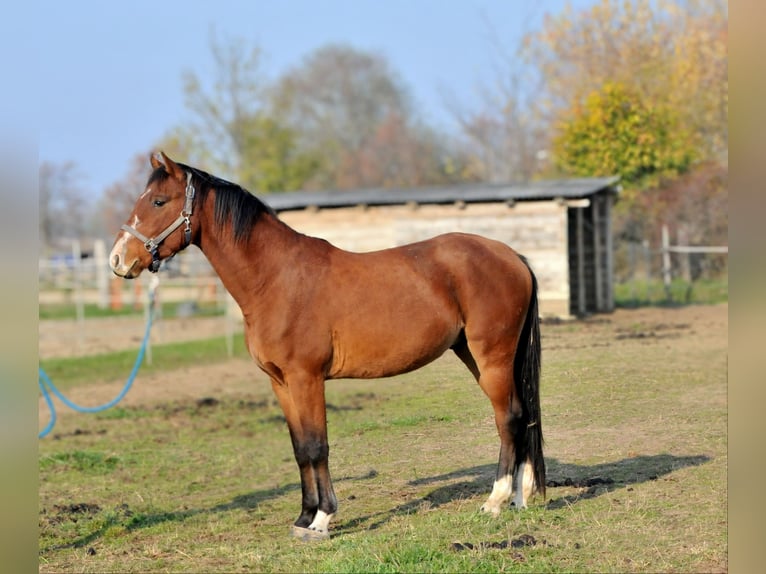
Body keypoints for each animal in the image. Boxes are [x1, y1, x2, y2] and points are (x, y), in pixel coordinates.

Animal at [111, 152, 548, 540]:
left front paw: (322, 520)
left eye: (158, 201)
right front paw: (304, 518)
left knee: (508, 418)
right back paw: (521, 498)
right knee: (522, 414)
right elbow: (299, 448)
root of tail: (512, 256)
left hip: (492, 356)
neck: (277, 278)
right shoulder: (281, 383)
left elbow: (316, 445)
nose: (119, 260)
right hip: (477, 356)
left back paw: (495, 501)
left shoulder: (306, 378)